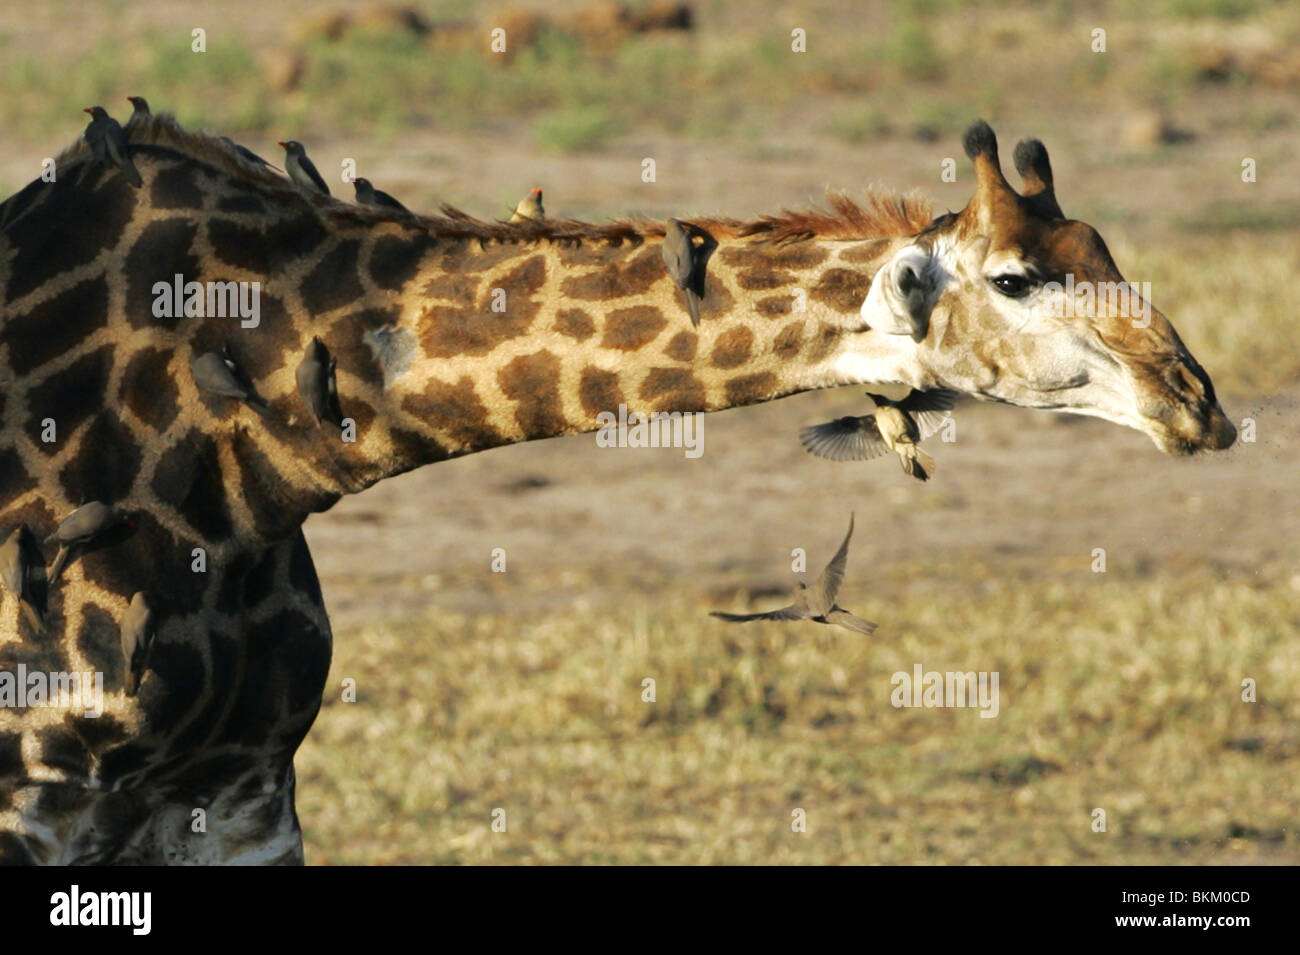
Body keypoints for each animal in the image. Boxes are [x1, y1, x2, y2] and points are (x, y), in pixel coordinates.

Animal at [0, 115, 1227, 862]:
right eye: (1015, 280)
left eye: (1108, 252)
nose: (1199, 403)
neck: (241, 461)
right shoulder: (42, 799)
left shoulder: (243, 792)